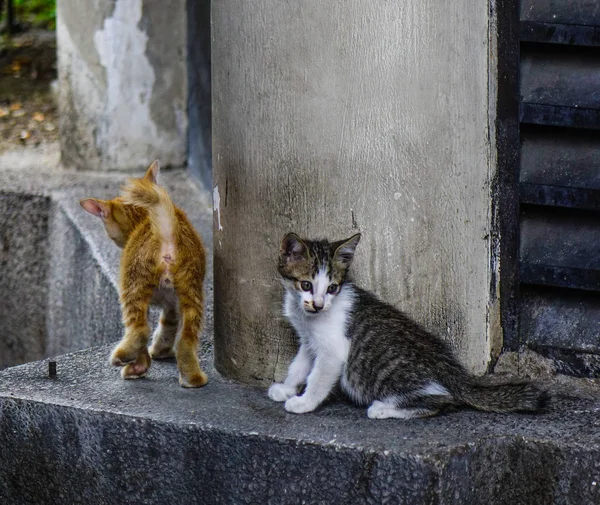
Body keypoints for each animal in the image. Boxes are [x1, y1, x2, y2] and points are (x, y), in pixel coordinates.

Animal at [80, 161, 209, 386]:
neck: (142, 219)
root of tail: (167, 233)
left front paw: (141, 362)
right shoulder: (172, 305)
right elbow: (168, 327)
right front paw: (159, 352)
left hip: (133, 285)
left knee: (140, 330)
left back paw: (123, 357)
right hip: (191, 292)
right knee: (186, 339)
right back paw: (193, 378)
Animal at [270, 232, 552, 418]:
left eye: (332, 288)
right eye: (306, 284)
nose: (318, 304)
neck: (308, 316)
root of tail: (453, 374)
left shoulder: (333, 349)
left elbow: (318, 377)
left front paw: (304, 402)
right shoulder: (309, 340)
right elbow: (299, 365)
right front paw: (286, 388)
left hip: (386, 373)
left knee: (442, 401)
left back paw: (383, 408)